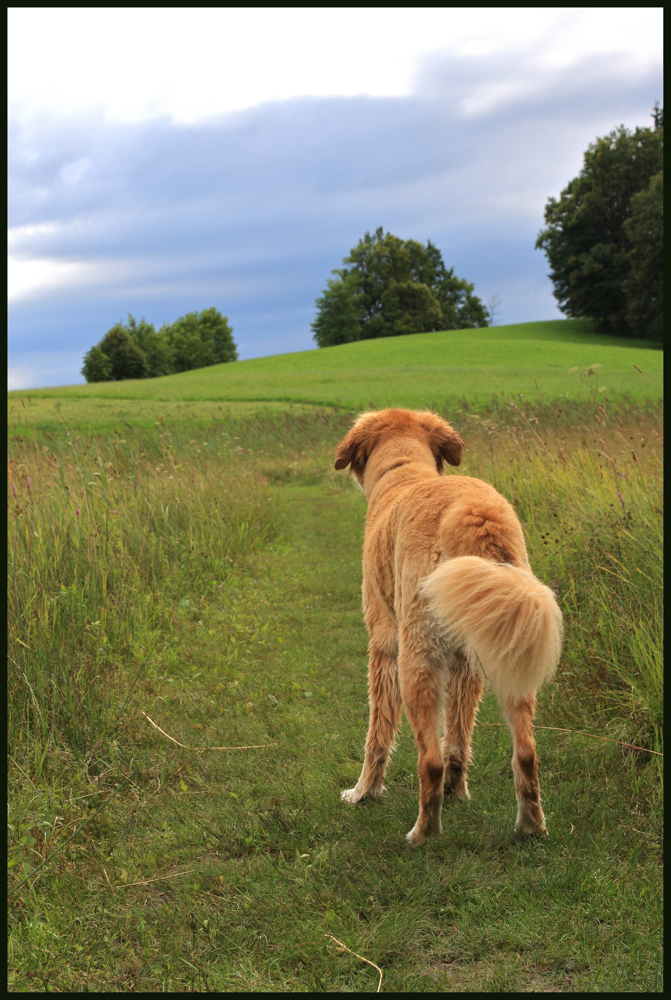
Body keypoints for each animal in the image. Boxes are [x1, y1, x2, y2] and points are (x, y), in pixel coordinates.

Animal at [334, 406, 560, 844]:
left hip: (417, 658)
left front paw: (363, 791)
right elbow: (458, 735)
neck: (404, 470)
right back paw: (530, 825)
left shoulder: (383, 642)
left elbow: (378, 732)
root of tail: (473, 509)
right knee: (525, 751)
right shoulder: (464, 662)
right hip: (510, 647)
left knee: (430, 760)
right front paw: (459, 791)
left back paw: (424, 832)